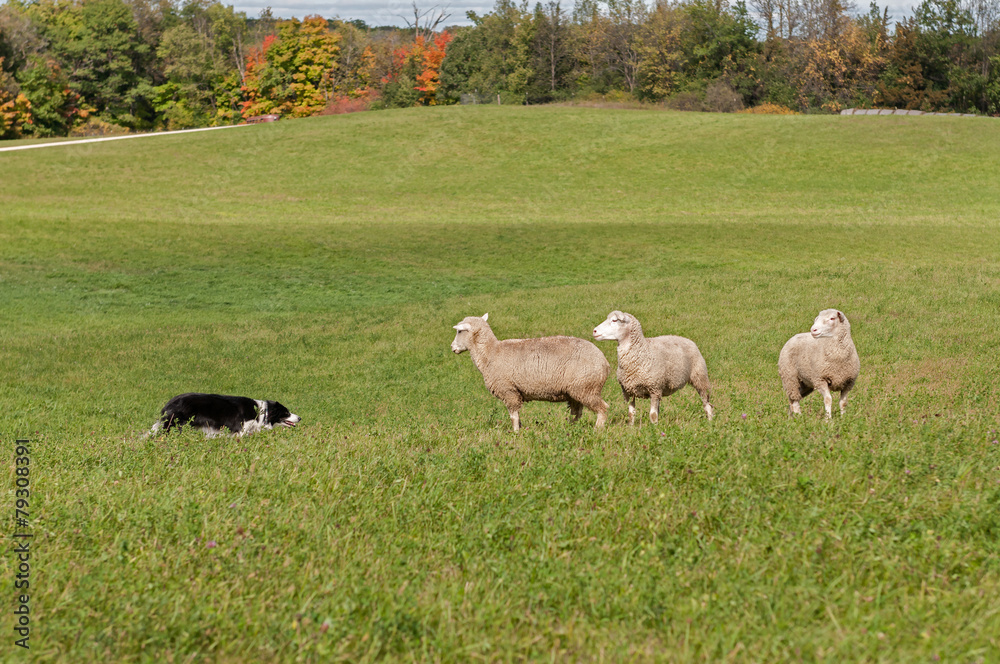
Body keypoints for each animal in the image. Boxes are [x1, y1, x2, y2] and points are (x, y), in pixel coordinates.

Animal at [450, 313, 610, 431]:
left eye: (459, 331)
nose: (452, 347)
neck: (490, 353)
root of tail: (604, 361)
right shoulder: (515, 393)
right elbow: (517, 416)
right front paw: (520, 429)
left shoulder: (509, 390)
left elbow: (513, 417)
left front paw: (515, 433)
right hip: (577, 390)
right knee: (577, 413)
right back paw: (570, 428)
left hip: (586, 388)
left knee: (603, 408)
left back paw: (597, 430)